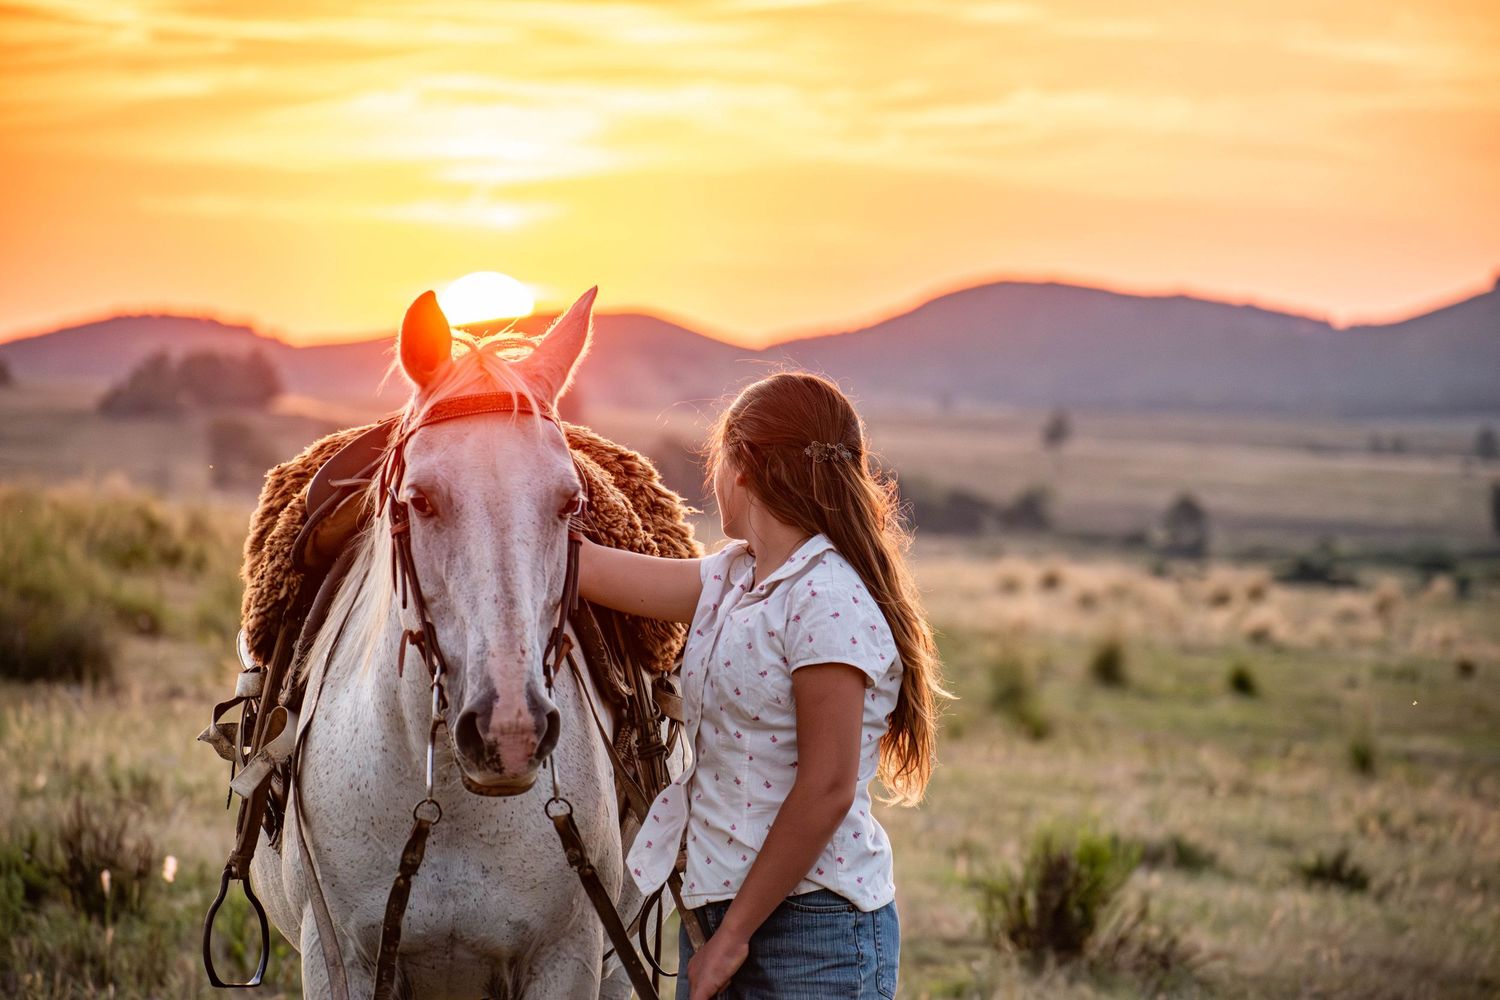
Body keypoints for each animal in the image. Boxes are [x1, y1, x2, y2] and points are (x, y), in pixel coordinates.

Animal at [250, 287, 682, 999]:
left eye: (571, 503)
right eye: (419, 500)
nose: (510, 732)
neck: (452, 799)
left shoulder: (568, 958)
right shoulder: (338, 956)